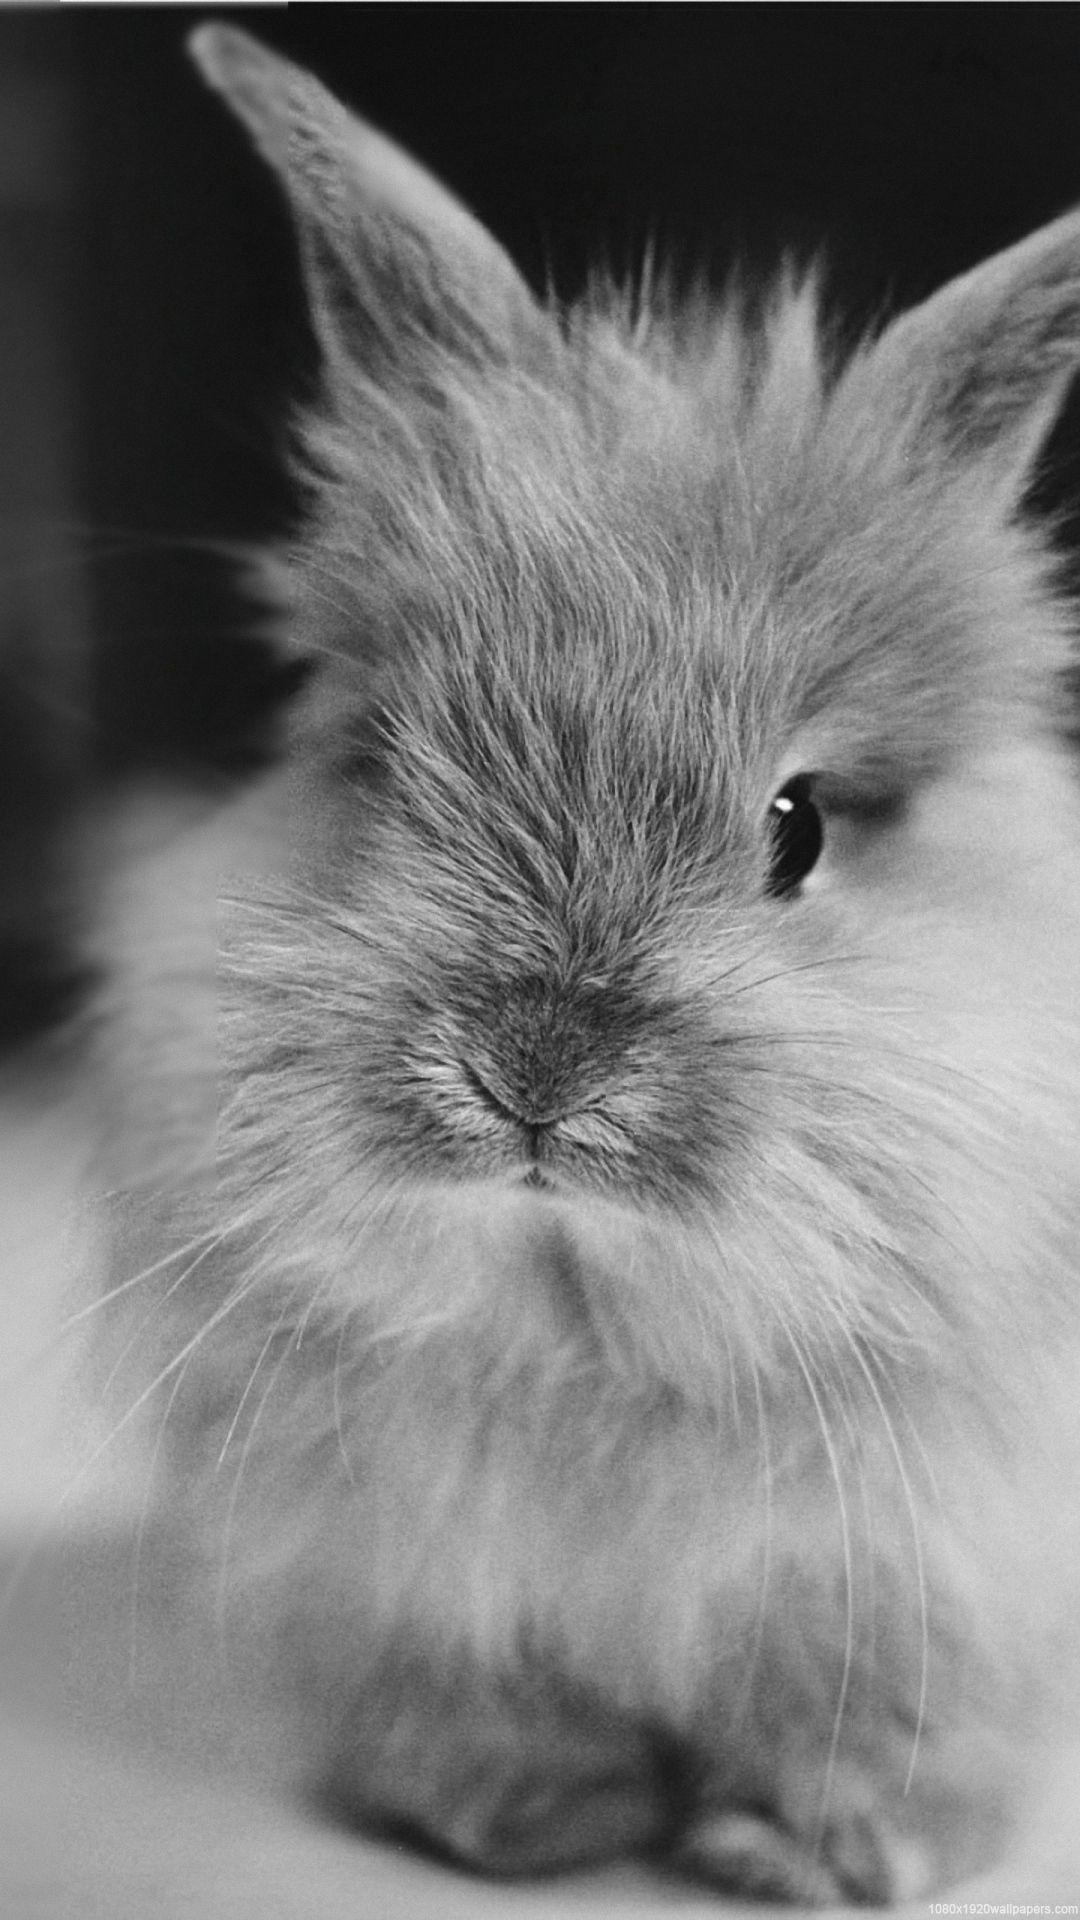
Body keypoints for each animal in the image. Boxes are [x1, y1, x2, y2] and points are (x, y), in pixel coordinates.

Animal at [99, 23, 1080, 1906]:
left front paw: (824, 1855)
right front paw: (529, 1820)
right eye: (385, 763)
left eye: (798, 828)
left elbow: (879, 1724)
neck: (593, 1309)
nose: (536, 1065)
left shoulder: (919, 1573)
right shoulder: (414, 1577)